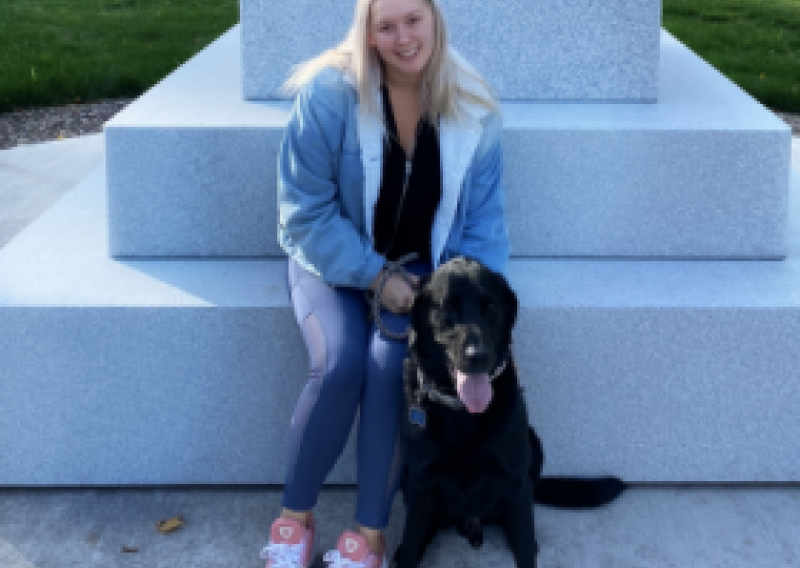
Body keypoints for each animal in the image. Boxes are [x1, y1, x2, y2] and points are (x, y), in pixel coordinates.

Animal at [394, 256, 624, 568]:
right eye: (448, 308)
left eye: (490, 306)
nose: (477, 356)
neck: (463, 413)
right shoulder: (420, 481)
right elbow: (411, 540)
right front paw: (407, 551)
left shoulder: (516, 483)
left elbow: (525, 547)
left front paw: (527, 546)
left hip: (534, 445)